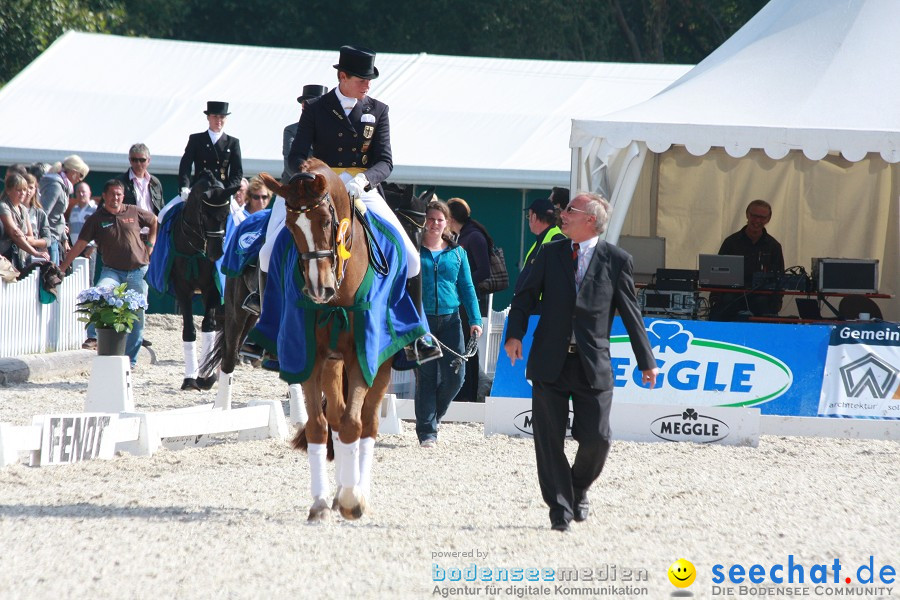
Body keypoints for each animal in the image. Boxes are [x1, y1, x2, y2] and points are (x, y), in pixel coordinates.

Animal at [165, 171, 236, 392]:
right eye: (205, 215)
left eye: (227, 215)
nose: (216, 253)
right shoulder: (182, 289)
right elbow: (189, 331)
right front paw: (190, 380)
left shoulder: (212, 289)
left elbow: (208, 326)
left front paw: (207, 377)